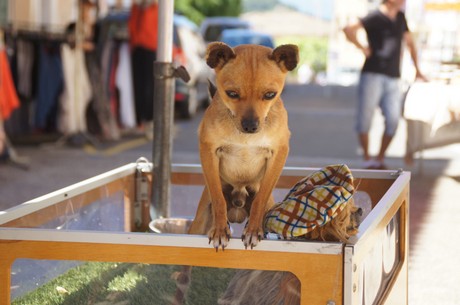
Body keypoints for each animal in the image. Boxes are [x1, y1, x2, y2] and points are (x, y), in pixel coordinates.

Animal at [189, 41, 300, 249]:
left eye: (270, 95)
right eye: (231, 94)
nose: (250, 125)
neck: (244, 137)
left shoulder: (279, 154)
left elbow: (260, 199)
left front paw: (253, 230)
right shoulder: (208, 151)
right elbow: (218, 198)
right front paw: (219, 230)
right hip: (198, 223)